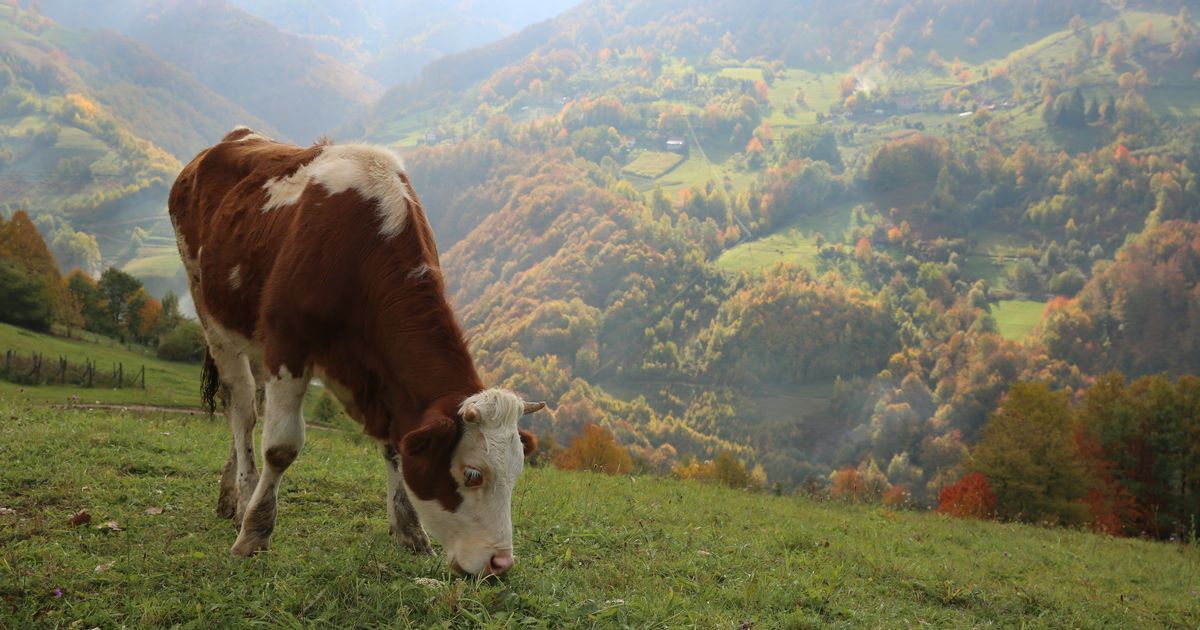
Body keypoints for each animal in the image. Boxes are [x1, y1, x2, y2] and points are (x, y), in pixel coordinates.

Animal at [169, 126, 544, 573]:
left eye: (517, 475)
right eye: (472, 474)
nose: (501, 563)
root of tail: (232, 138)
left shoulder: (381, 379)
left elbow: (397, 447)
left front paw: (410, 532)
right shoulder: (287, 342)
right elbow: (280, 447)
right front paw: (255, 534)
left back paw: (229, 497)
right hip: (207, 305)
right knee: (241, 408)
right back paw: (244, 498)